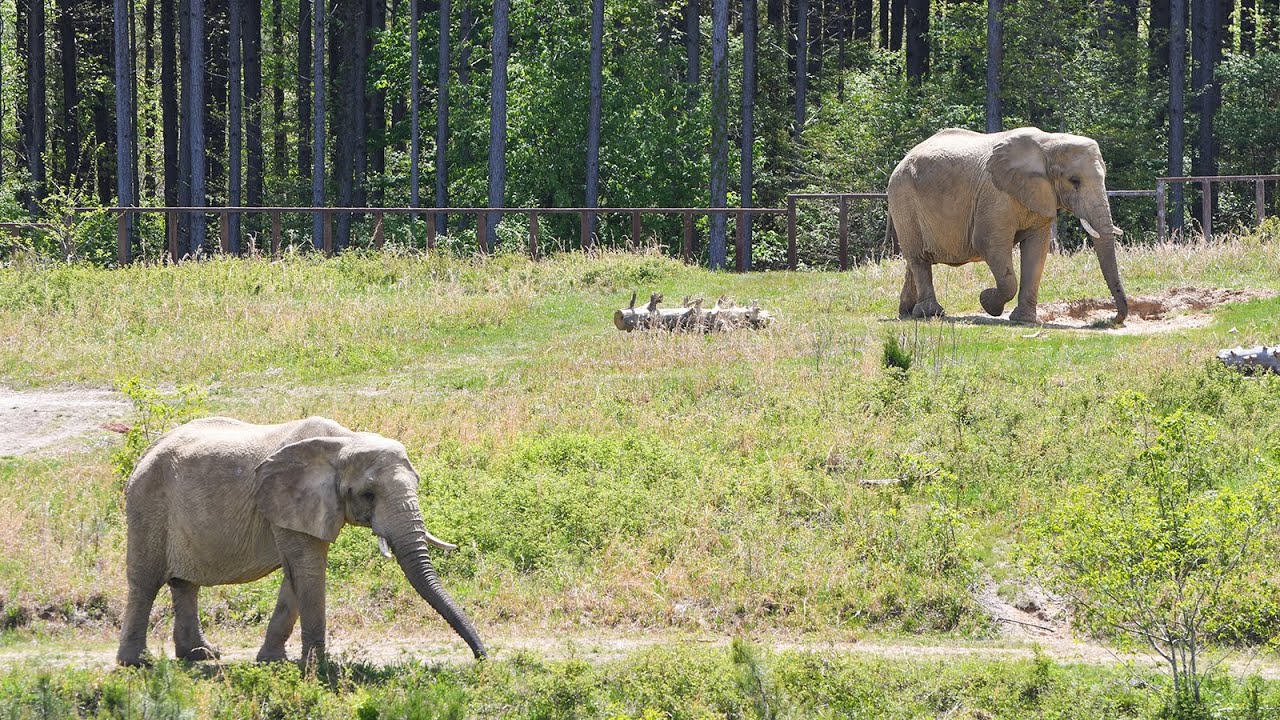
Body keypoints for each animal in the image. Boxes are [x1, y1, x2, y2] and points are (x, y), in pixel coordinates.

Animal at [115, 412, 486, 666]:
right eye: (367, 495)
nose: (482, 657)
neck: (344, 442)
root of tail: (145, 452)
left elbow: (296, 575)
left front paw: (273, 661)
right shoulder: (290, 499)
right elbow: (309, 569)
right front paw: (318, 667)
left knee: (184, 584)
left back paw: (201, 655)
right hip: (148, 505)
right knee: (145, 581)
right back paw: (136, 663)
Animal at [885, 126, 1126, 322]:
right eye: (1074, 181)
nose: (1113, 319)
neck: (1048, 143)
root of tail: (902, 160)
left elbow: (1036, 251)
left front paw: (1024, 319)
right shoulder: (995, 195)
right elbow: (990, 244)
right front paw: (987, 302)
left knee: (915, 260)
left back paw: (908, 312)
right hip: (903, 197)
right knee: (919, 259)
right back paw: (931, 313)